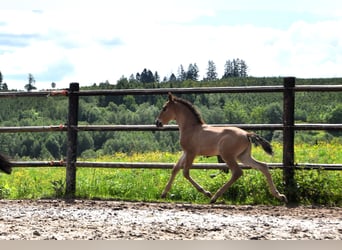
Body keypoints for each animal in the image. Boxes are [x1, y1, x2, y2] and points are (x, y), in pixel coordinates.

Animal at [156, 93, 288, 204]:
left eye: (164, 108)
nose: (157, 123)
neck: (191, 128)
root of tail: (246, 134)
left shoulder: (191, 153)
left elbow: (185, 172)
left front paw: (207, 193)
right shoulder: (185, 152)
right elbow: (175, 168)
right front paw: (163, 194)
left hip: (227, 155)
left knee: (237, 172)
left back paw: (214, 197)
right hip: (243, 156)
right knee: (263, 166)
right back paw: (280, 196)